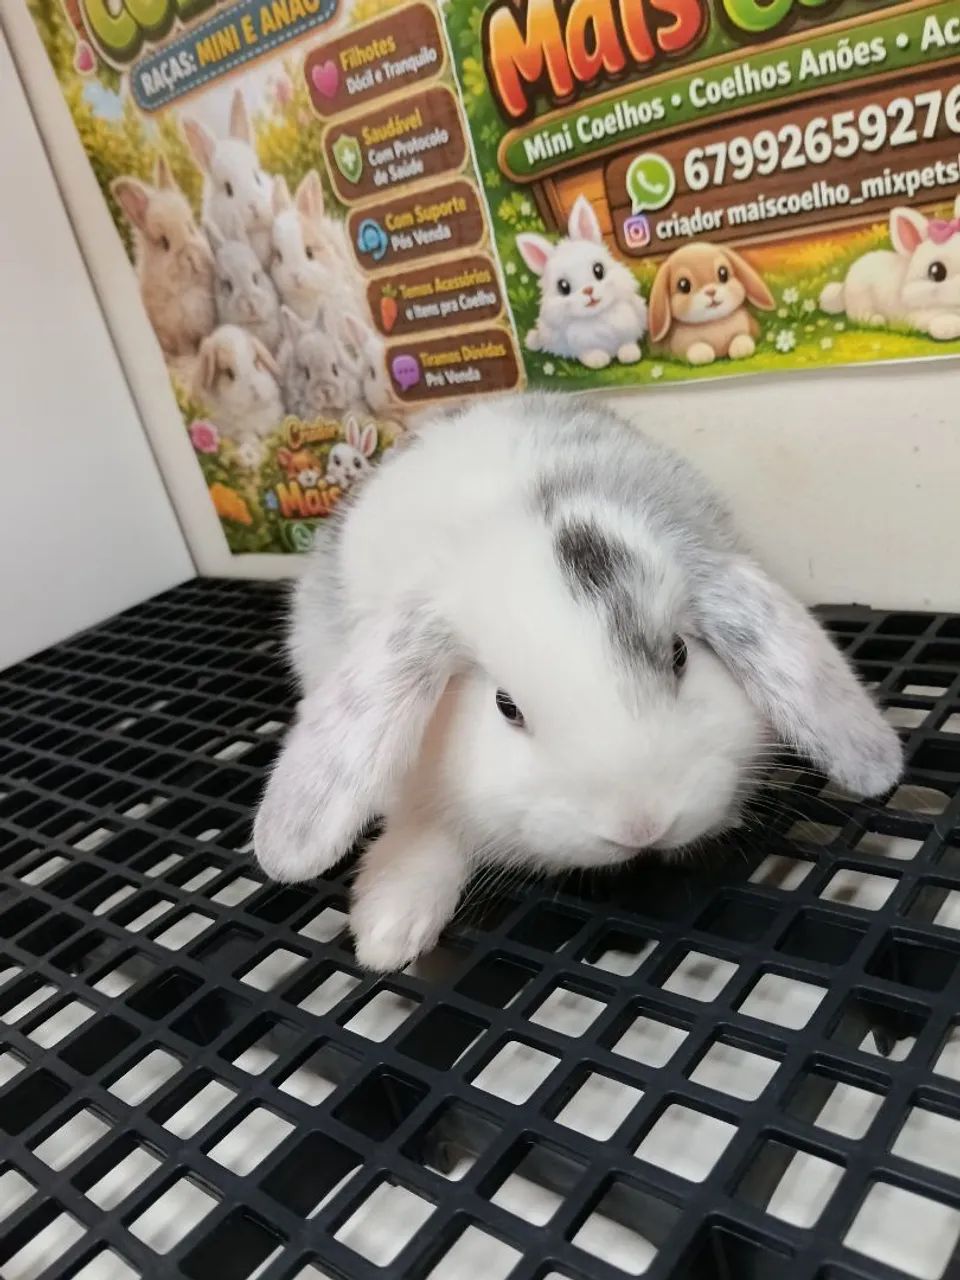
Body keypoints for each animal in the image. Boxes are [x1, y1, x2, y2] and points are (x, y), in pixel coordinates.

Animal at [112, 155, 216, 358]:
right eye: (164, 243)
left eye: (190, 227)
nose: (192, 257)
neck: (188, 290)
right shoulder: (178, 334)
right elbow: (187, 351)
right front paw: (192, 356)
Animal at [516, 196, 647, 369]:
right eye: (563, 287)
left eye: (599, 270)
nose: (588, 290)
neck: (597, 316)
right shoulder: (579, 346)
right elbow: (588, 354)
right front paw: (598, 360)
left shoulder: (629, 328)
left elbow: (628, 343)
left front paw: (630, 355)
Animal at [820, 199, 960, 341]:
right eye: (936, 272)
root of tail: (843, 288)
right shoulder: (919, 316)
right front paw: (947, 328)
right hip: (861, 300)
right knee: (861, 317)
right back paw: (877, 320)